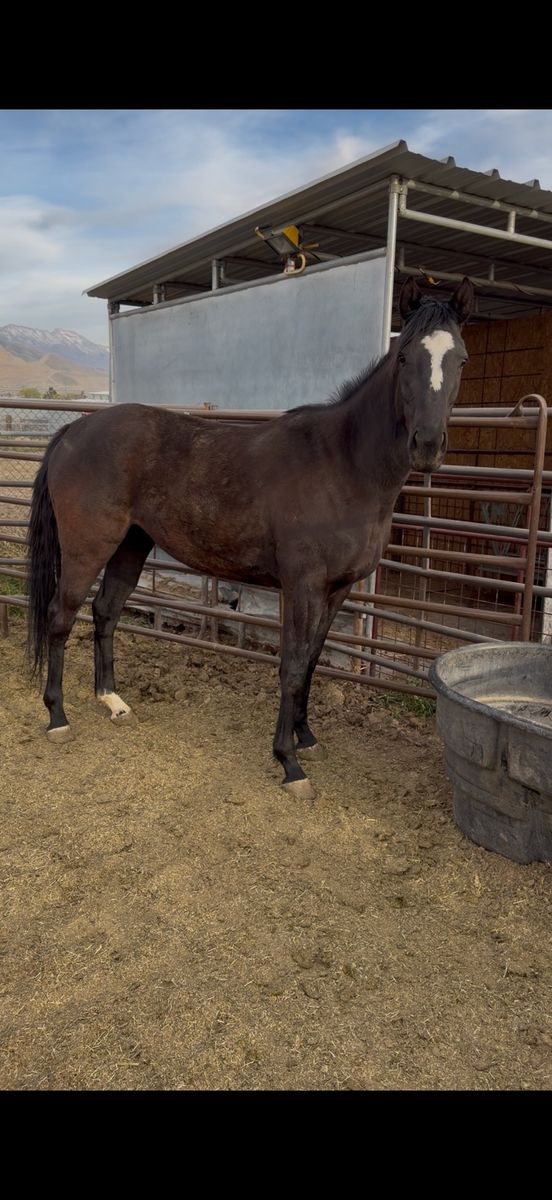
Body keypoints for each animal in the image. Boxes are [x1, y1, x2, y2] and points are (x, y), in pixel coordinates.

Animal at [27, 275, 473, 799]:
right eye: (404, 357)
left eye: (460, 359)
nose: (427, 444)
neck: (342, 464)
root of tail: (73, 430)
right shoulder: (302, 588)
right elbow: (292, 666)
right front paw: (289, 763)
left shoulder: (336, 591)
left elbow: (313, 661)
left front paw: (306, 738)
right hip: (87, 548)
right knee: (60, 616)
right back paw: (57, 717)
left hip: (130, 546)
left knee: (105, 612)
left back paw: (112, 701)